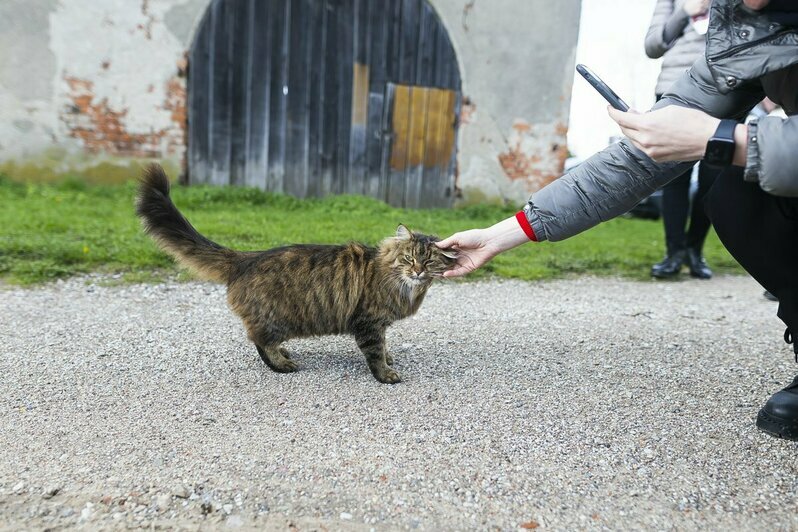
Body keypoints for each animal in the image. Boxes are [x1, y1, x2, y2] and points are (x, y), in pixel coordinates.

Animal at [136, 164, 456, 384]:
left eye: (428, 262)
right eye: (409, 258)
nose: (417, 271)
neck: (405, 285)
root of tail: (246, 258)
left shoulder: (379, 323)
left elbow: (385, 345)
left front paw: (389, 358)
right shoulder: (368, 322)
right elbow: (375, 352)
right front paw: (386, 373)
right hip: (276, 318)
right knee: (260, 341)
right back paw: (282, 364)